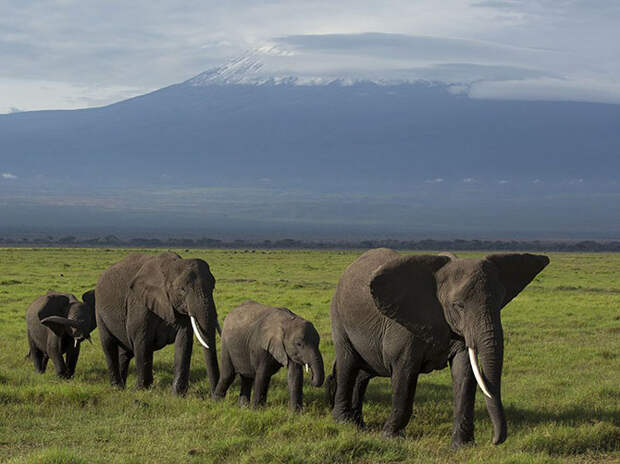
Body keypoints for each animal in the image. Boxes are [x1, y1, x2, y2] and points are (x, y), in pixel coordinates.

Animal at [95, 252, 222, 394]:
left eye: (213, 287)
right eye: (182, 290)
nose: (214, 395)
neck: (170, 267)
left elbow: (184, 341)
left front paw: (178, 395)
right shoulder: (139, 302)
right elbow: (142, 341)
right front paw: (142, 390)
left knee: (125, 352)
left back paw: (122, 386)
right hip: (99, 311)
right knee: (109, 345)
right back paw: (116, 387)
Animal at [326, 248, 548, 448]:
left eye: (500, 302)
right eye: (458, 306)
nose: (495, 441)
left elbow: (464, 373)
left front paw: (463, 446)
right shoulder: (404, 326)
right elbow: (405, 374)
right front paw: (391, 438)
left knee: (364, 372)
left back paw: (359, 425)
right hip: (338, 315)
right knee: (348, 363)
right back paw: (344, 422)